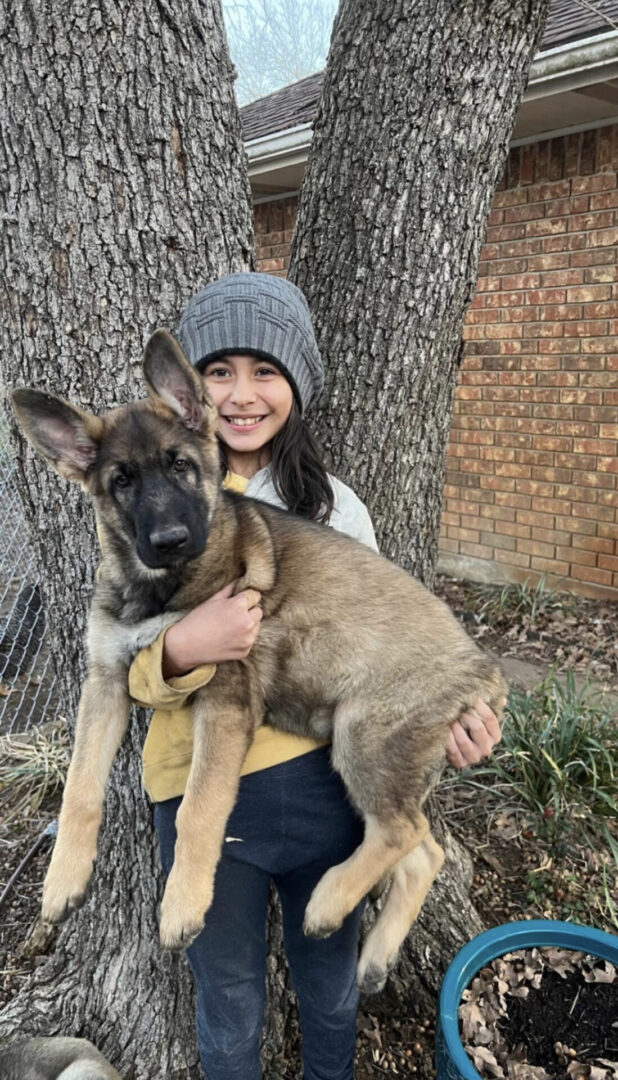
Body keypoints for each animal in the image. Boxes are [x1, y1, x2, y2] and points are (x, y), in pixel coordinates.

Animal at [13, 330, 507, 993]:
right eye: (121, 480)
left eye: (181, 465)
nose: (170, 540)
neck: (160, 588)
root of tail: (482, 669)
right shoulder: (108, 682)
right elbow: (79, 789)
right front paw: (62, 880)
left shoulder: (224, 700)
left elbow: (199, 810)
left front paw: (182, 906)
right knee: (425, 848)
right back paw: (375, 955)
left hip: (365, 733)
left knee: (404, 831)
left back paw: (327, 903)